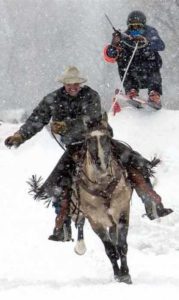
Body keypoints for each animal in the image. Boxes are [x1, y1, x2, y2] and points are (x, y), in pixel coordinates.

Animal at [70, 122, 133, 284]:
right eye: (88, 140)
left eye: (107, 138)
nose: (100, 163)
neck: (103, 187)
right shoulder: (95, 221)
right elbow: (110, 250)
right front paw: (118, 275)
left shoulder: (122, 212)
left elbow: (122, 245)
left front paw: (125, 274)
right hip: (78, 210)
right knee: (80, 223)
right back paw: (80, 246)